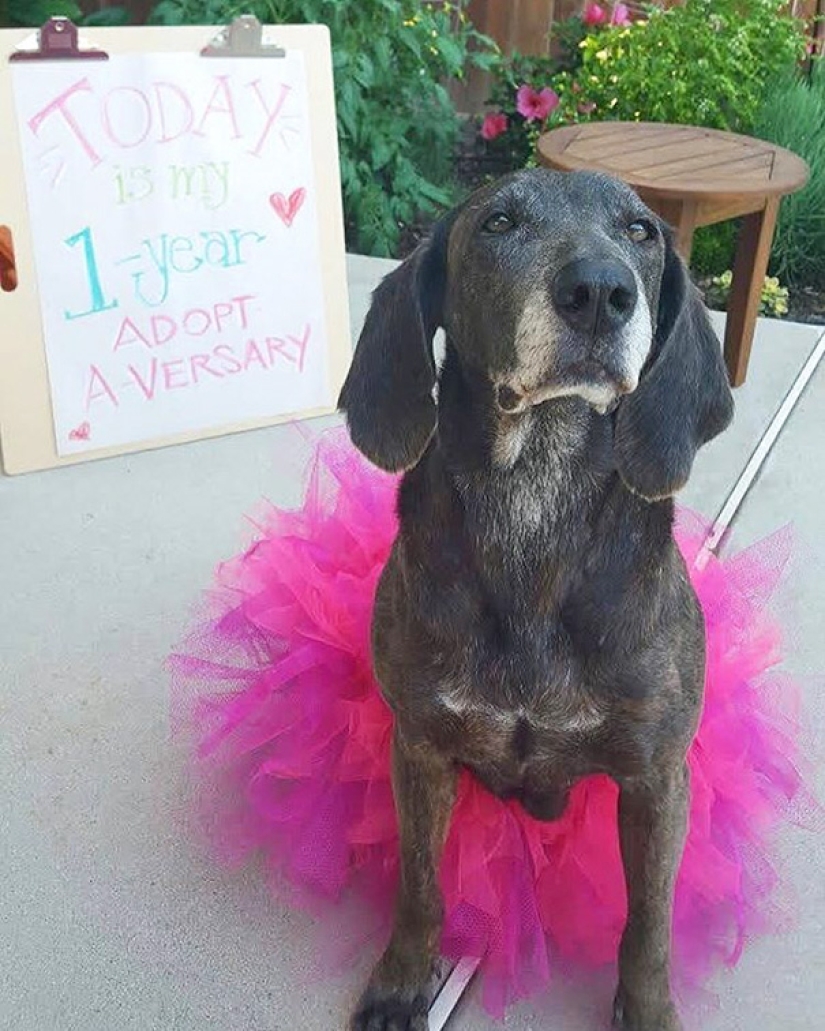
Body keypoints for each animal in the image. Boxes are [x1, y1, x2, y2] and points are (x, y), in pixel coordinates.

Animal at [338, 169, 730, 1031]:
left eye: (639, 230)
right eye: (498, 223)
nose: (598, 291)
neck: (534, 496)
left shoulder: (656, 778)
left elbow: (647, 921)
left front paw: (645, 1009)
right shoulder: (419, 746)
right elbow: (420, 886)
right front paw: (401, 980)